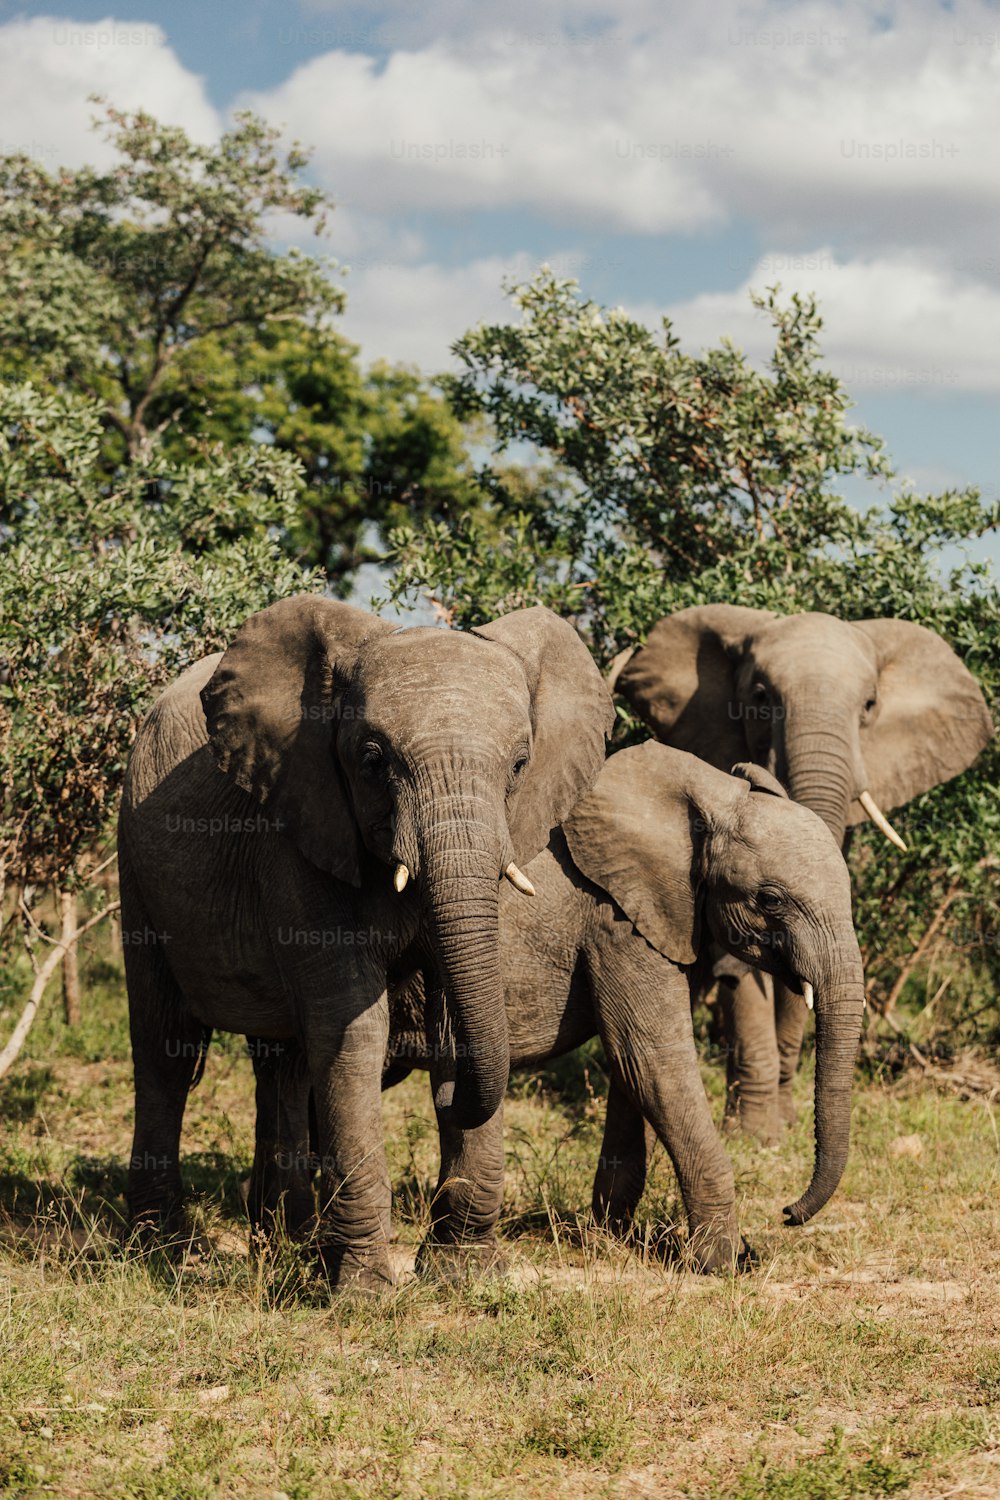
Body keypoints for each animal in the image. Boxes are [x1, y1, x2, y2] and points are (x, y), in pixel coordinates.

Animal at [119, 594, 617, 1290]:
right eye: (374, 758)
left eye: (520, 765)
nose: (453, 1103)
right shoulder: (300, 826)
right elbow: (352, 1027)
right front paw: (363, 1293)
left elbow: (455, 1015)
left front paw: (464, 1275)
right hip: (135, 861)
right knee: (166, 1044)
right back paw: (161, 1249)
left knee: (282, 1060)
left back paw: (286, 1240)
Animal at [383, 744, 869, 1272]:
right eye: (771, 899)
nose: (787, 1213)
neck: (707, 795)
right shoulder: (616, 919)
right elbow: (652, 1060)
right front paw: (723, 1262)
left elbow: (632, 1073)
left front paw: (609, 1240)